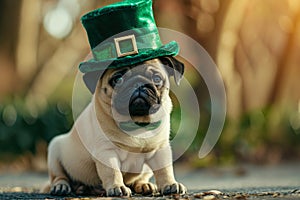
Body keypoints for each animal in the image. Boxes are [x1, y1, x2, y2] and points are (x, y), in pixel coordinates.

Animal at [44, 56, 186, 197]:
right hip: (54, 150)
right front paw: (117, 187)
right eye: (117, 79)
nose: (138, 83)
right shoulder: (106, 152)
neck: (136, 123)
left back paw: (144, 185)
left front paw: (170, 184)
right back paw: (62, 187)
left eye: (157, 79)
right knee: (58, 176)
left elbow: (165, 169)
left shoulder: (160, 149)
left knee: (141, 178)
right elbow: (112, 172)